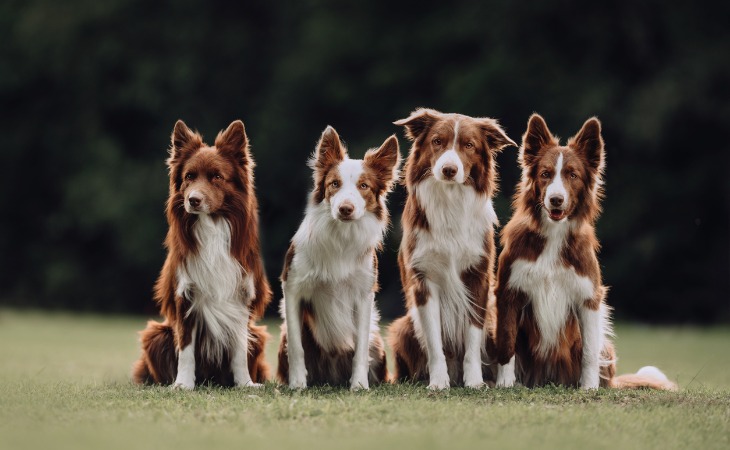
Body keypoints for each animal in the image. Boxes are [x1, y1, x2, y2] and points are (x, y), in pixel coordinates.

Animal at [132, 120, 270, 390]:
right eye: (189, 177)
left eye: (217, 176)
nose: (192, 200)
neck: (212, 226)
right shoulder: (185, 297)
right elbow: (185, 349)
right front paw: (183, 384)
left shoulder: (241, 296)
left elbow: (239, 350)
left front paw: (245, 383)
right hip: (155, 333)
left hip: (258, 334)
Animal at [274, 125, 398, 388]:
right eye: (334, 184)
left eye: (364, 186)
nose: (345, 209)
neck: (341, 236)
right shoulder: (292, 287)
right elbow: (297, 347)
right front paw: (297, 384)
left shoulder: (364, 295)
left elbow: (360, 349)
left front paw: (359, 385)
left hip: (376, 337)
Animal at [386, 109, 516, 390]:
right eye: (437, 141)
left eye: (469, 145)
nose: (448, 170)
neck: (449, 200)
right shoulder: (424, 280)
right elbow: (435, 342)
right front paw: (438, 382)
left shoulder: (477, 278)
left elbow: (473, 339)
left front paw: (475, 381)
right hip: (403, 326)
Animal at [490, 115, 676, 390]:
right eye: (545, 174)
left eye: (572, 175)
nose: (556, 199)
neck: (554, 235)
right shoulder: (509, 292)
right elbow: (507, 342)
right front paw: (505, 384)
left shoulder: (588, 297)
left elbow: (589, 353)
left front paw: (589, 388)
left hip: (605, 345)